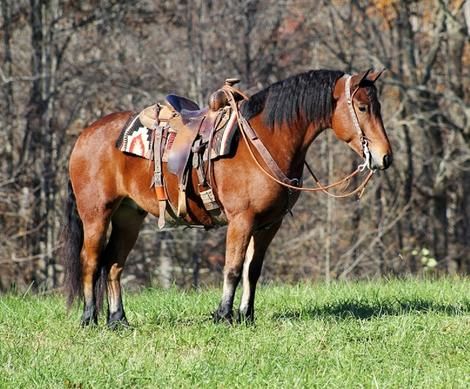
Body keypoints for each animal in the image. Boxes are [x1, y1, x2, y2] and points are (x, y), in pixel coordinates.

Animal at [62, 68, 392, 326]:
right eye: (362, 107)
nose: (384, 157)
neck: (266, 139)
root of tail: (85, 135)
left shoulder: (268, 225)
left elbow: (252, 270)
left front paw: (247, 316)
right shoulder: (241, 221)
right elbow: (232, 268)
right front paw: (223, 315)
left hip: (129, 216)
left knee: (113, 264)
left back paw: (118, 320)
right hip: (96, 214)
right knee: (91, 261)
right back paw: (89, 318)